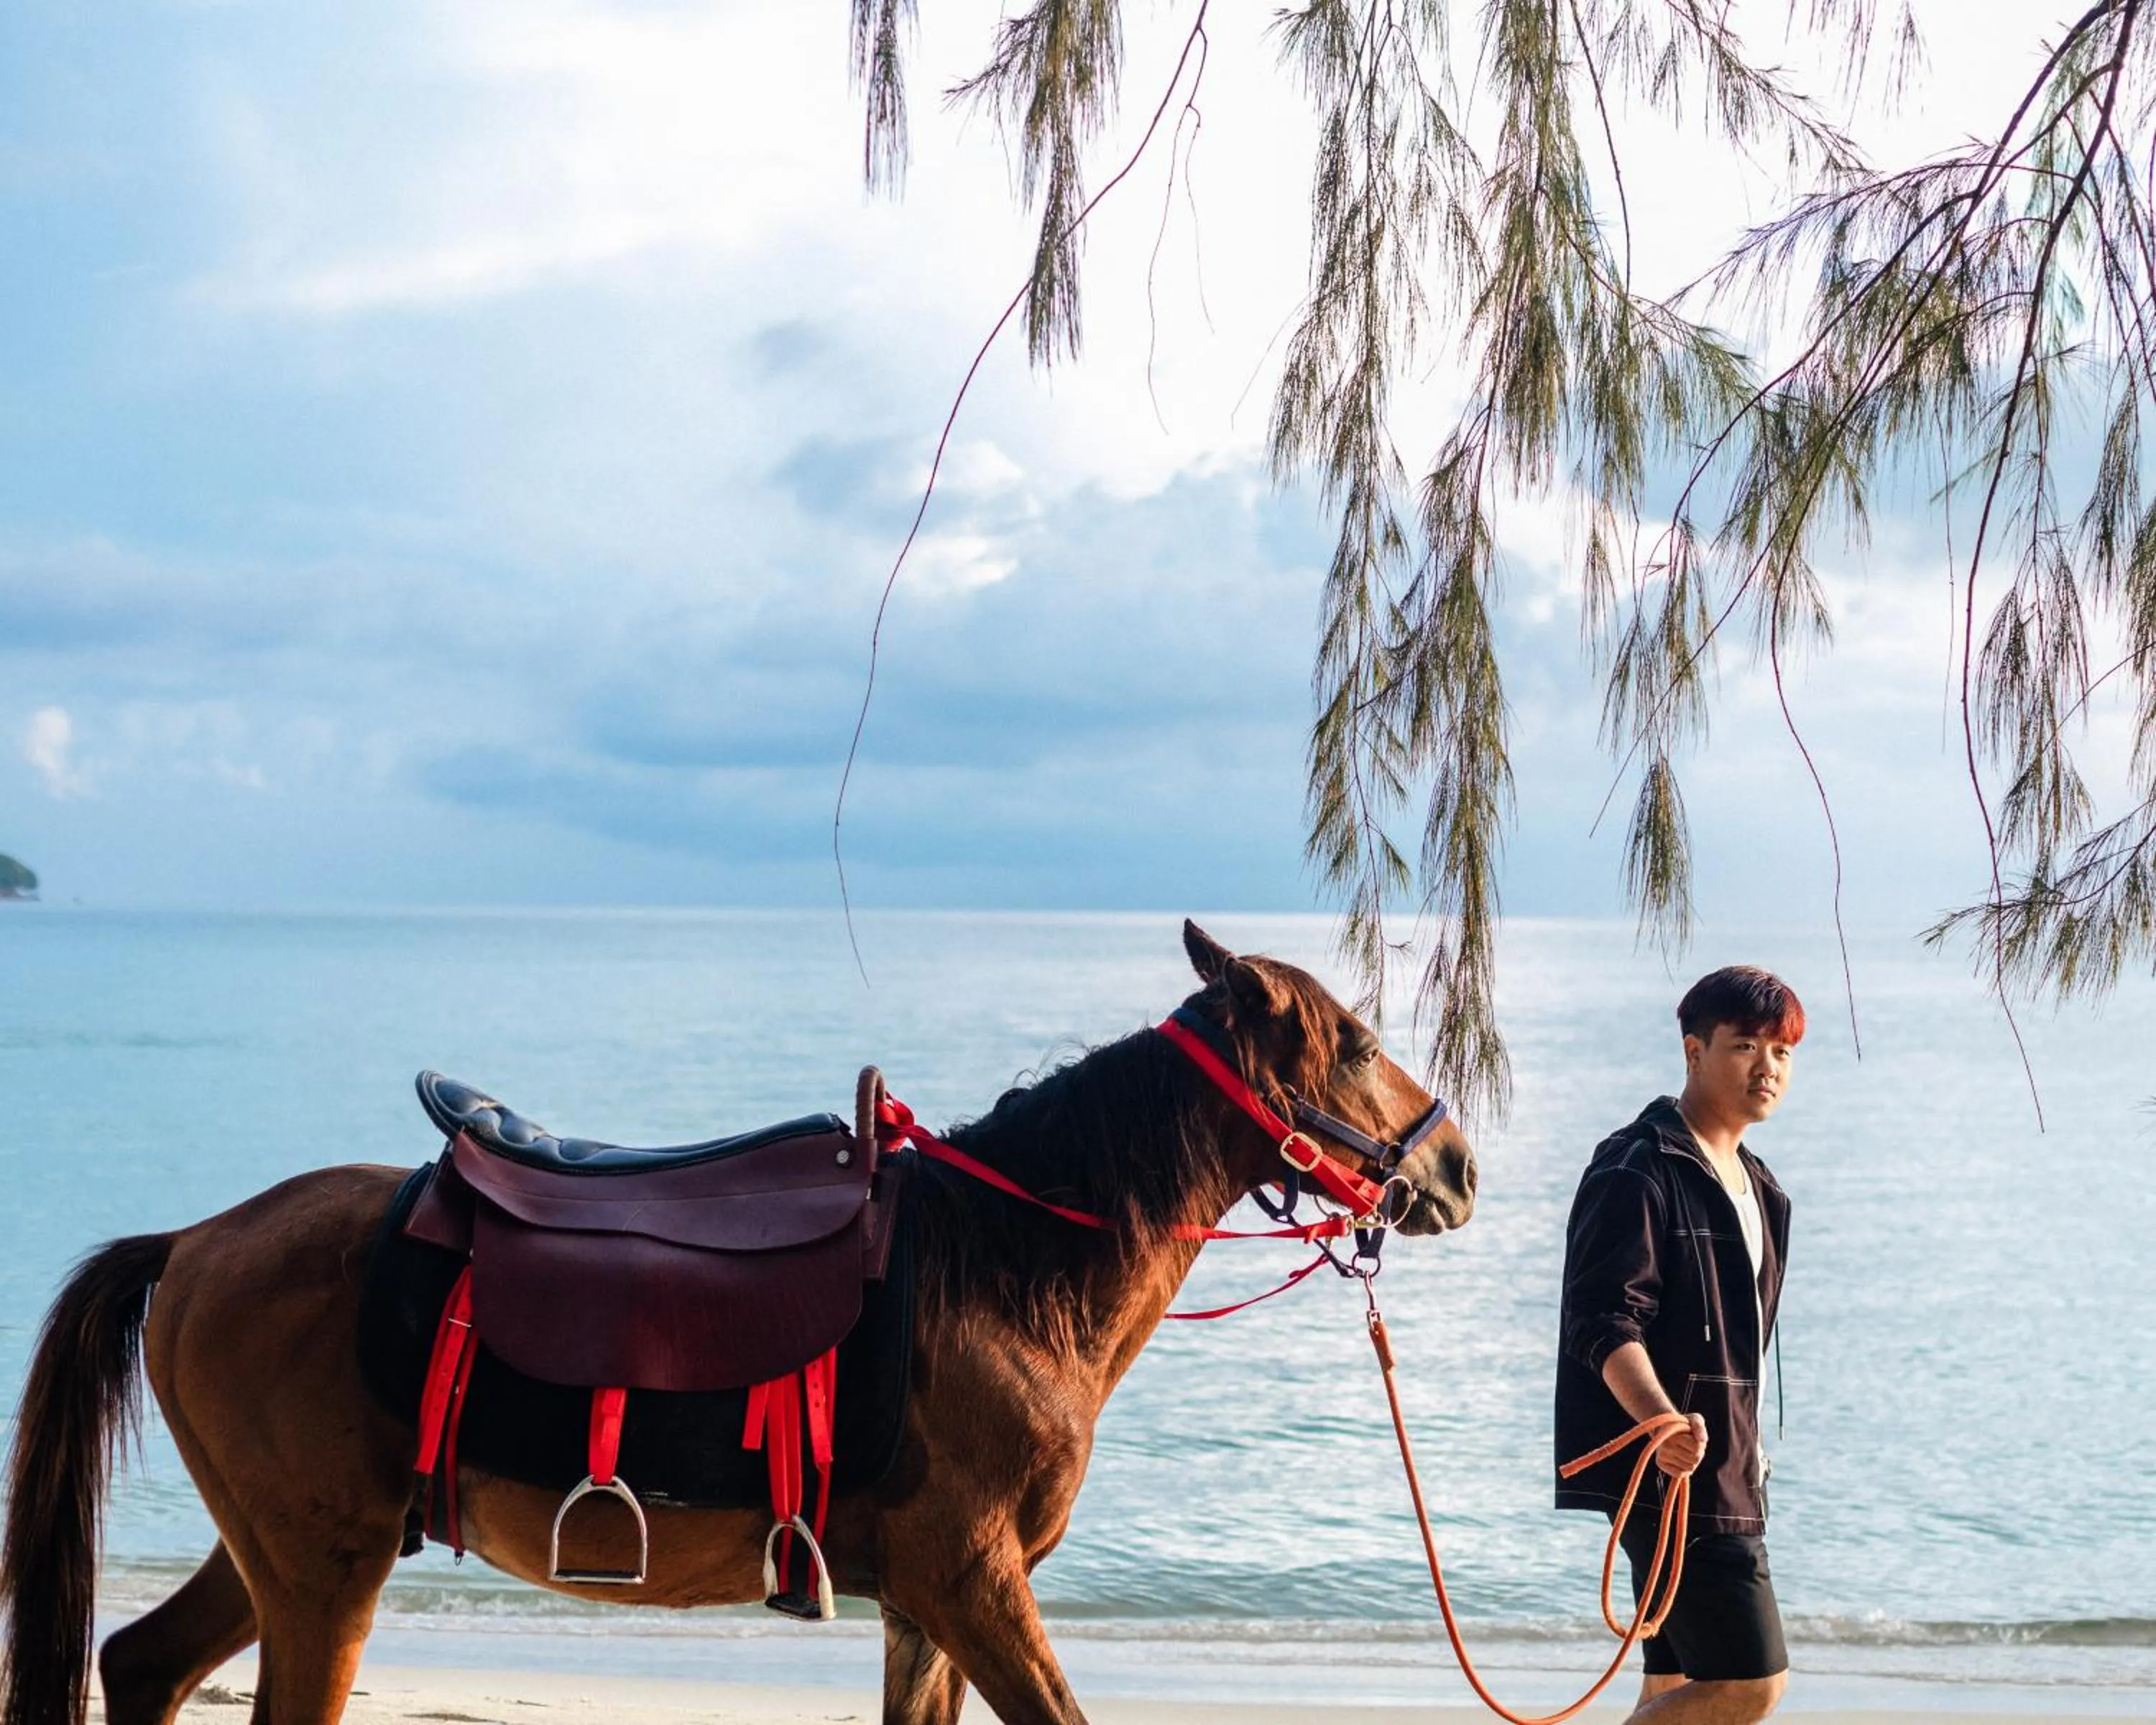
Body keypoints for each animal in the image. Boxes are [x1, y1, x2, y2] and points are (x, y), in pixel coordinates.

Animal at [0, 920, 1477, 1725]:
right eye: (1353, 1042)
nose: (1456, 1164)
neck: (1004, 1271)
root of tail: (195, 1241)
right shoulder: (974, 1584)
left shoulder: (927, 1609)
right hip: (324, 1569)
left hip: (287, 1551)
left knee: (138, 1664)